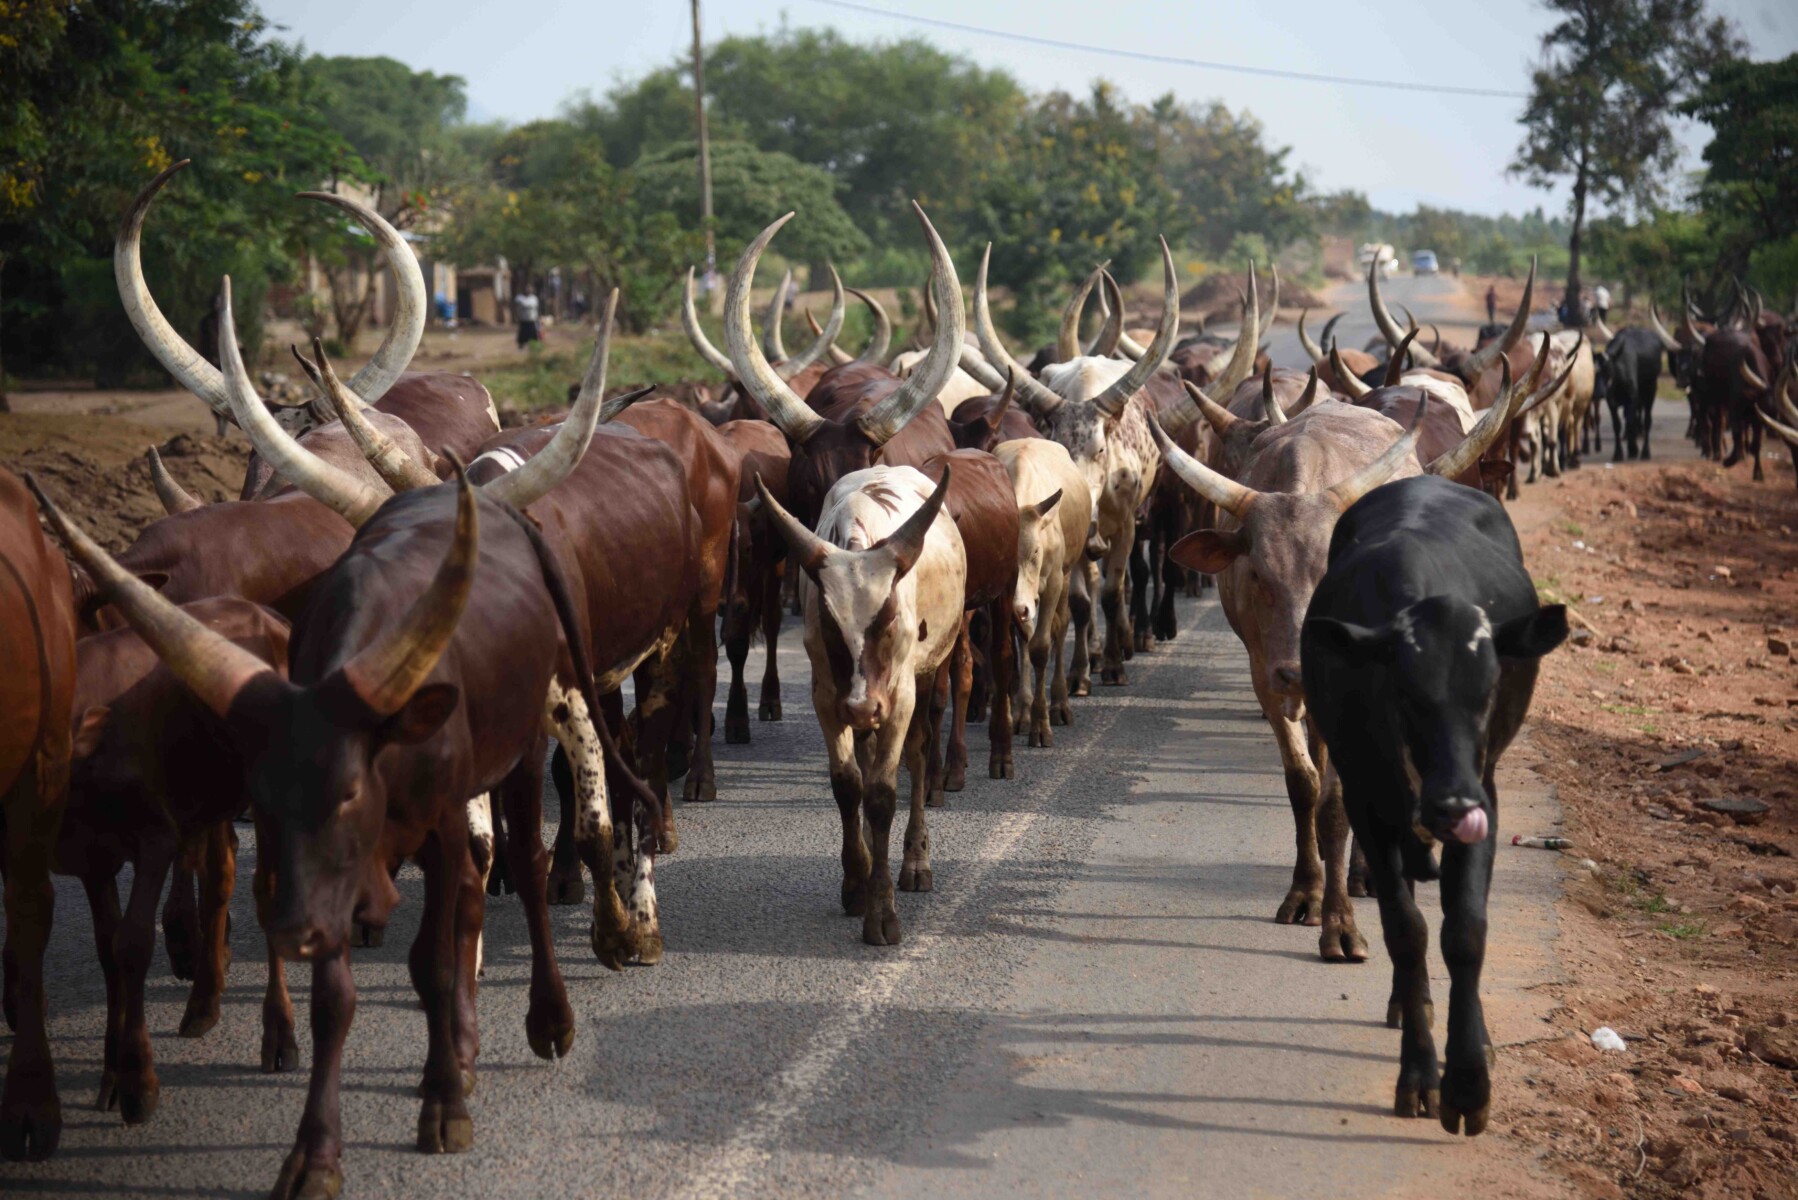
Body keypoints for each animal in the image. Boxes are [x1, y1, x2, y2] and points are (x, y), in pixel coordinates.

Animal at [1301, 471, 1567, 1137]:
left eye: (1491, 688)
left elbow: (1464, 930)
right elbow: (1406, 932)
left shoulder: (1486, 796)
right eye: (1406, 692)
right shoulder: (1367, 804)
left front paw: (1469, 1081)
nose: (1451, 803)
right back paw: (1408, 1001)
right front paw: (1421, 1074)